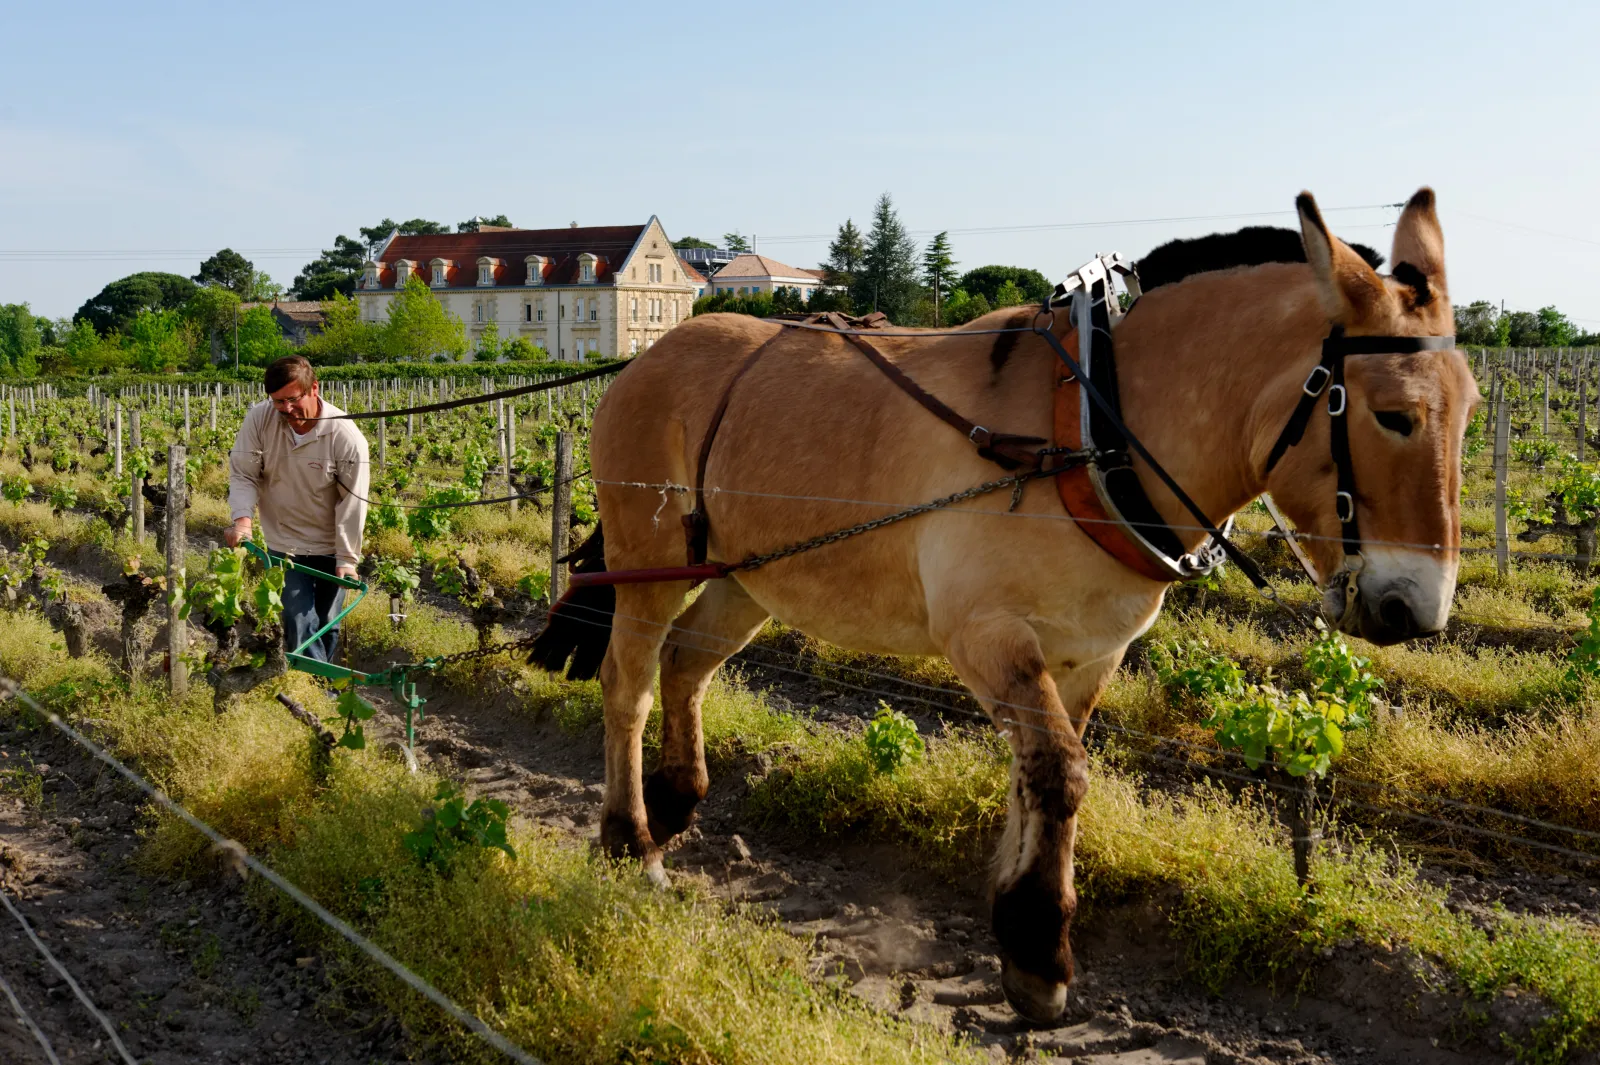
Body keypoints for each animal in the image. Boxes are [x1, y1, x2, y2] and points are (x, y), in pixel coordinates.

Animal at [529, 189, 1476, 1024]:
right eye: (1393, 414)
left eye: (1468, 411)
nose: (1417, 609)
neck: (1093, 426)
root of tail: (648, 356)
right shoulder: (986, 634)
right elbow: (1061, 773)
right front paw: (1038, 950)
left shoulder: (1090, 651)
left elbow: (1040, 773)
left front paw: (1017, 911)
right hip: (651, 557)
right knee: (628, 682)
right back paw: (630, 839)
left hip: (747, 572)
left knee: (687, 661)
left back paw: (677, 800)